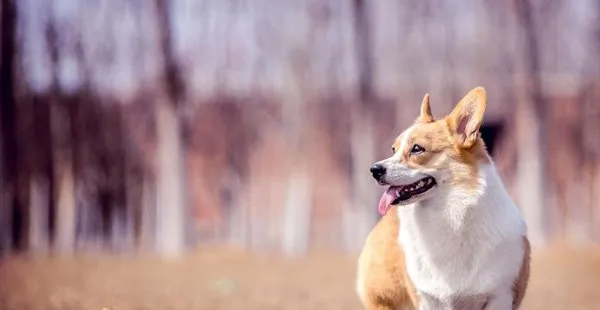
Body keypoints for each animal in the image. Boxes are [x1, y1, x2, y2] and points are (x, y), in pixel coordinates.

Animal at [356, 88, 528, 310]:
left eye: (417, 149)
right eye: (393, 149)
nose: (374, 170)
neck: (449, 213)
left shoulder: (500, 296)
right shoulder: (428, 299)